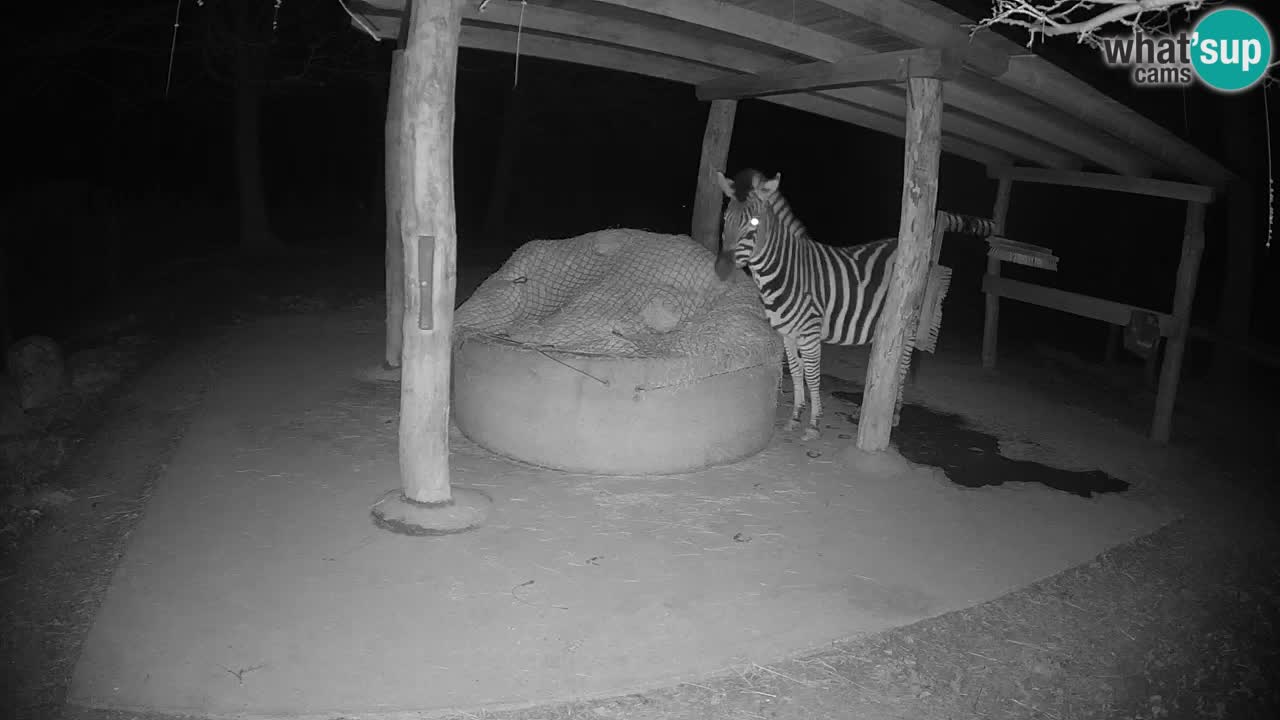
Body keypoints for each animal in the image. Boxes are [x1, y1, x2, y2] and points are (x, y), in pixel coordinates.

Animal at [714, 168, 985, 440]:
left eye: (753, 223)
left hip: (909, 324)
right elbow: (797, 371)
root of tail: (921, 253)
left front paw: (814, 423)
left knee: (902, 367)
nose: (721, 270)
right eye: (726, 218)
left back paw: (895, 415)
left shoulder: (810, 333)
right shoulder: (787, 334)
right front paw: (796, 416)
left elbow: (812, 375)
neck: (786, 271)